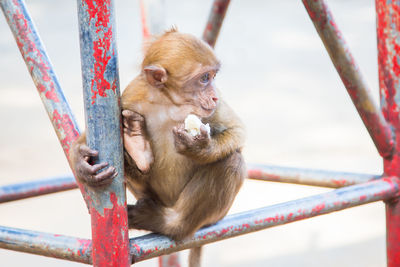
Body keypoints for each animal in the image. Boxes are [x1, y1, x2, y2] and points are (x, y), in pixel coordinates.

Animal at [71, 28, 247, 266]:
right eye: (204, 78)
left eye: (212, 77)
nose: (214, 96)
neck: (170, 103)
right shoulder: (131, 94)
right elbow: (86, 139)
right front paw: (83, 164)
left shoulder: (212, 110)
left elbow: (237, 131)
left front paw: (200, 149)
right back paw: (138, 148)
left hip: (211, 217)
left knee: (232, 160)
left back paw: (171, 224)